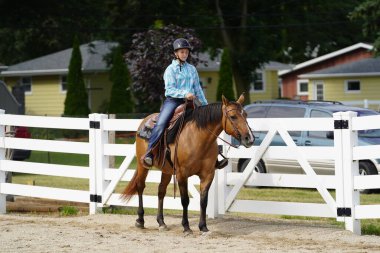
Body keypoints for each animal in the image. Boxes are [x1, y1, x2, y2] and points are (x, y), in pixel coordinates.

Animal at [121, 94, 252, 234]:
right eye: (233, 116)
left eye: (246, 114)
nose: (249, 138)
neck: (198, 139)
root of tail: (145, 120)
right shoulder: (182, 174)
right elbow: (185, 200)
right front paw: (186, 227)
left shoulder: (208, 175)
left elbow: (203, 201)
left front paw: (203, 227)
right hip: (143, 166)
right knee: (140, 186)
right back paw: (140, 220)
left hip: (166, 170)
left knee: (161, 191)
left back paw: (161, 222)